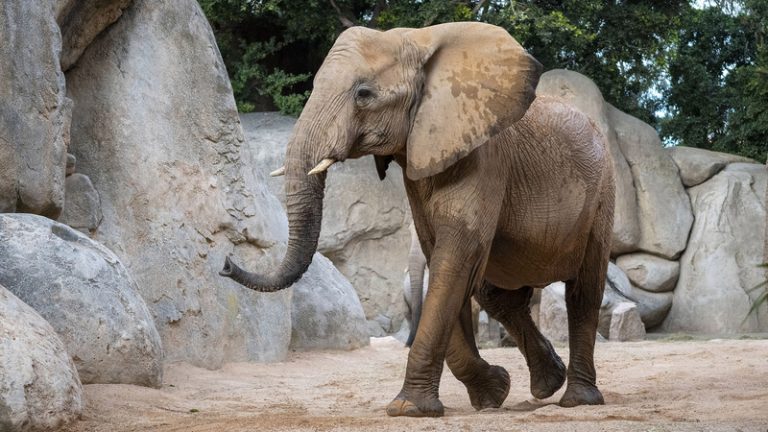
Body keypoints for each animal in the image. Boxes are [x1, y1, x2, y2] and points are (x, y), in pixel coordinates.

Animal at [220, 22, 615, 417]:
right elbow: (444, 263)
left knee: (583, 292)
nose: (225, 263)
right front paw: (492, 393)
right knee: (498, 296)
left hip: (602, 196)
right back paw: (547, 383)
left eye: (363, 94)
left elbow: (453, 261)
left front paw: (407, 408)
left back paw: (577, 399)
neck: (418, 40)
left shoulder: (484, 160)